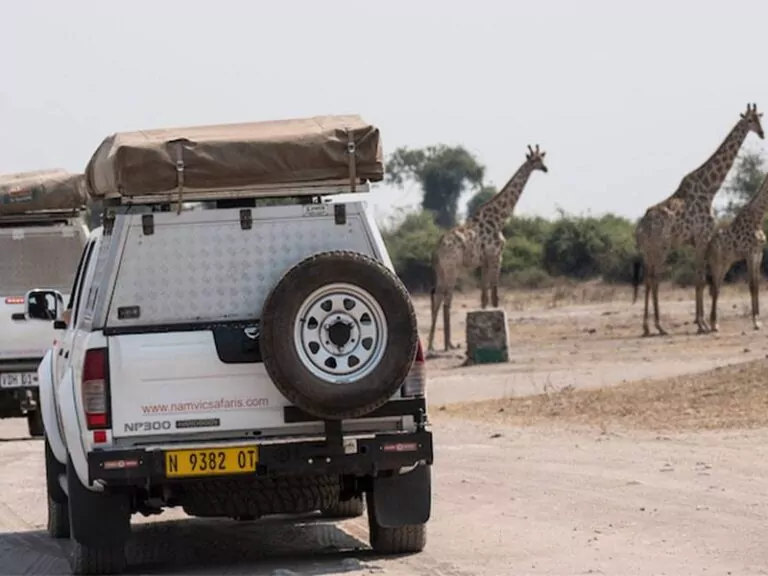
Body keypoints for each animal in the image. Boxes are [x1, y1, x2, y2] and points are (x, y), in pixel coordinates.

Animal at [426, 144, 544, 354]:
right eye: (535, 160)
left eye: (542, 158)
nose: (545, 168)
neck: (500, 218)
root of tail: (437, 248)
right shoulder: (496, 255)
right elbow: (495, 293)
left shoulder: (484, 261)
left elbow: (484, 296)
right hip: (452, 268)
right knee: (447, 298)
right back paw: (447, 344)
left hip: (441, 270)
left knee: (437, 296)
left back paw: (434, 344)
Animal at [704, 170, 768, 332]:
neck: (758, 217)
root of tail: (708, 247)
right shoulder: (750, 254)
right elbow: (751, 286)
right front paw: (755, 321)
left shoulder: (758, 254)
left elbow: (757, 286)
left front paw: (758, 320)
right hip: (717, 264)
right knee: (715, 288)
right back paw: (714, 324)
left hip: (726, 264)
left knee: (716, 288)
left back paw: (713, 323)